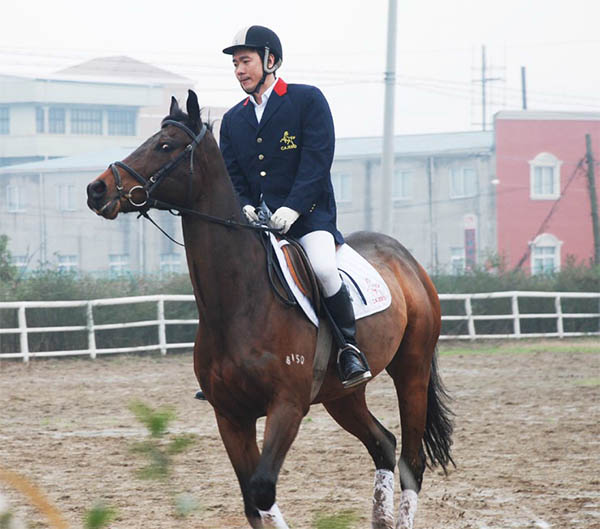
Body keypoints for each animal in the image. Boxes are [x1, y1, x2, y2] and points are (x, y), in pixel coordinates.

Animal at [86, 90, 453, 529]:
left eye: (165, 145)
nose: (96, 189)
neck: (238, 303)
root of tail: (405, 258)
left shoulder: (286, 407)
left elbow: (263, 489)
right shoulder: (230, 415)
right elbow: (251, 499)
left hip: (411, 370)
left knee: (411, 460)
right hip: (342, 395)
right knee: (382, 443)